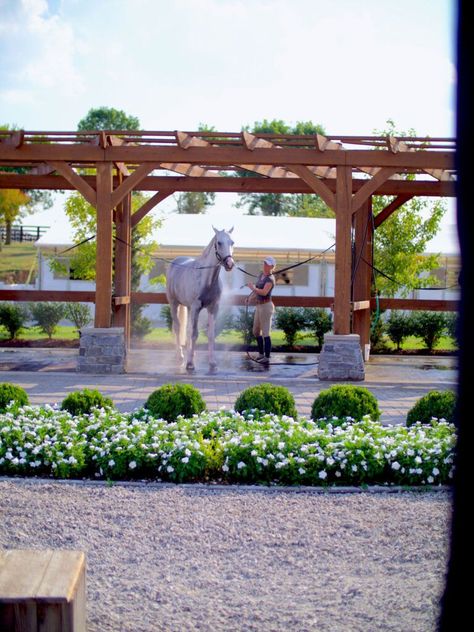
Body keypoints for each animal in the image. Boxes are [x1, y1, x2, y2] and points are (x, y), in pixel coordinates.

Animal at [165, 227, 235, 372]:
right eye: (219, 242)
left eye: (232, 242)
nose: (230, 264)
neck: (206, 279)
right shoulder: (196, 307)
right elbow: (194, 334)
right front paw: (190, 364)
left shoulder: (213, 308)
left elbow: (210, 334)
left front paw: (212, 363)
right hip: (174, 303)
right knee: (177, 327)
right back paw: (180, 355)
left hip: (188, 308)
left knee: (186, 329)